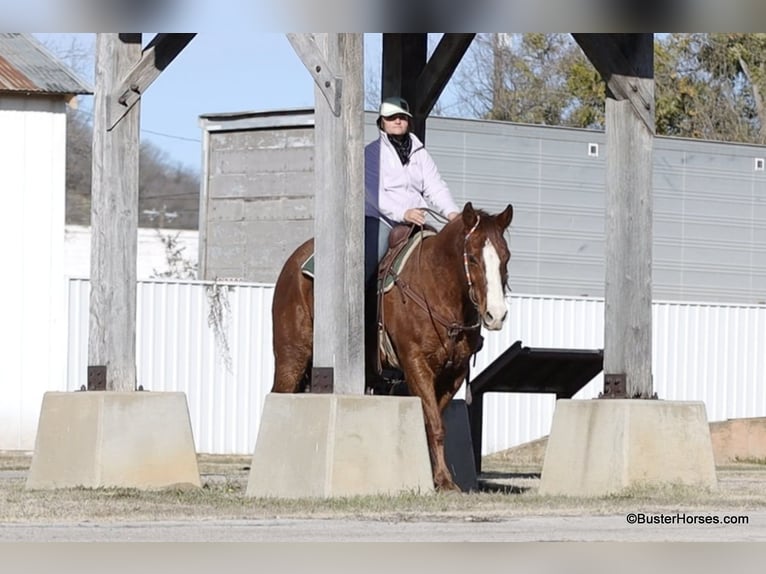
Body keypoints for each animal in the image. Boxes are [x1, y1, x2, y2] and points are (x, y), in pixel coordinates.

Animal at [270, 201, 514, 491]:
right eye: (474, 258)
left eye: (506, 257)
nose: (496, 315)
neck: (436, 288)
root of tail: (295, 262)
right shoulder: (415, 363)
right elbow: (434, 423)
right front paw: (444, 481)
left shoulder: (454, 373)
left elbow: (434, 421)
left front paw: (439, 478)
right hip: (291, 358)